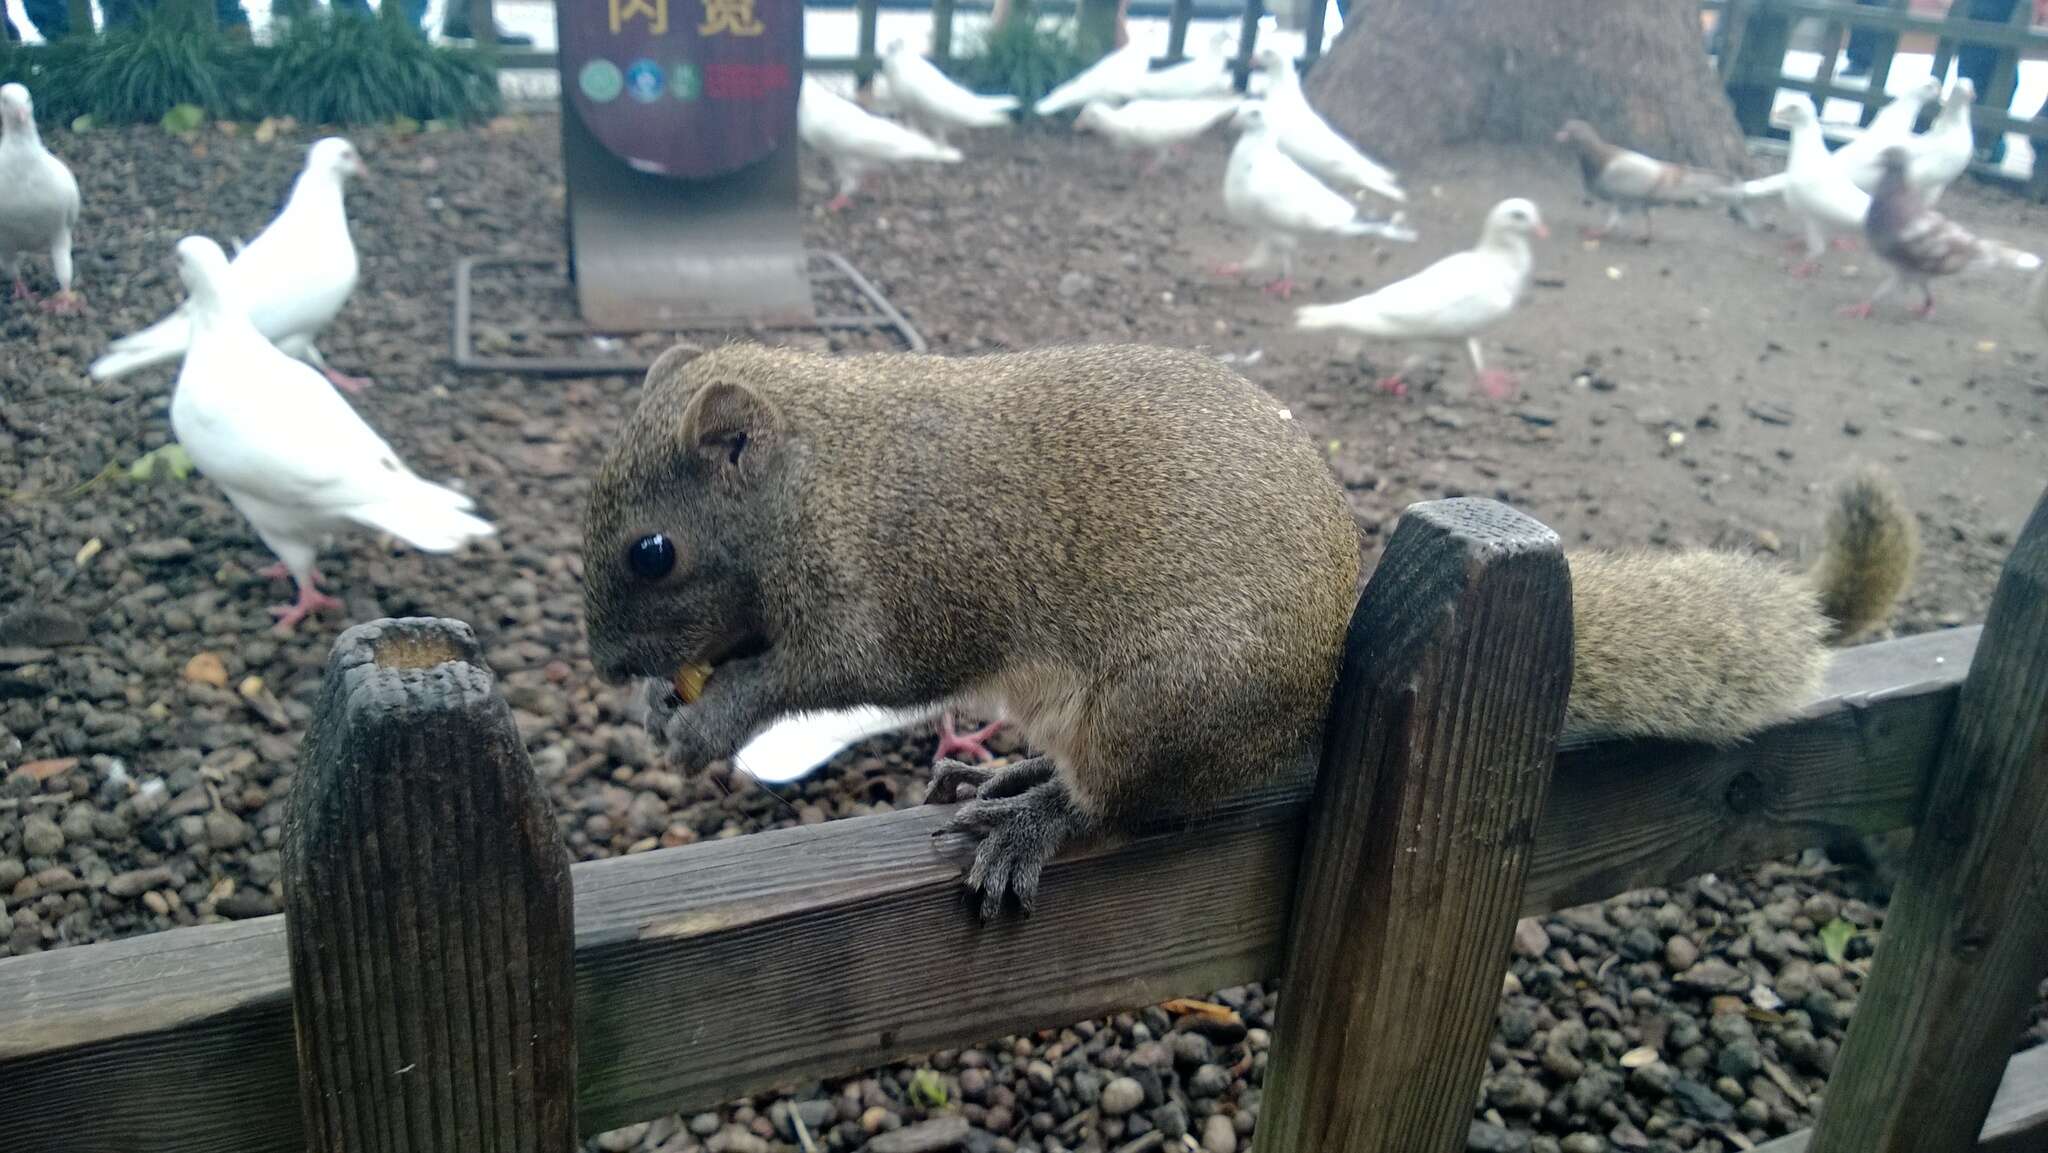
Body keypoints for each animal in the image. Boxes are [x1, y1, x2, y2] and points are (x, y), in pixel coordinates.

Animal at [581, 342, 1916, 921]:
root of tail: (1312, 699)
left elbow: (854, 669)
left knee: (1120, 807)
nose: (601, 664)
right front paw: (661, 702)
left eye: (652, 551)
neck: (825, 474)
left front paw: (714, 716)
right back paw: (1013, 774)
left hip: (1159, 710)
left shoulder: (920, 571)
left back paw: (1034, 815)